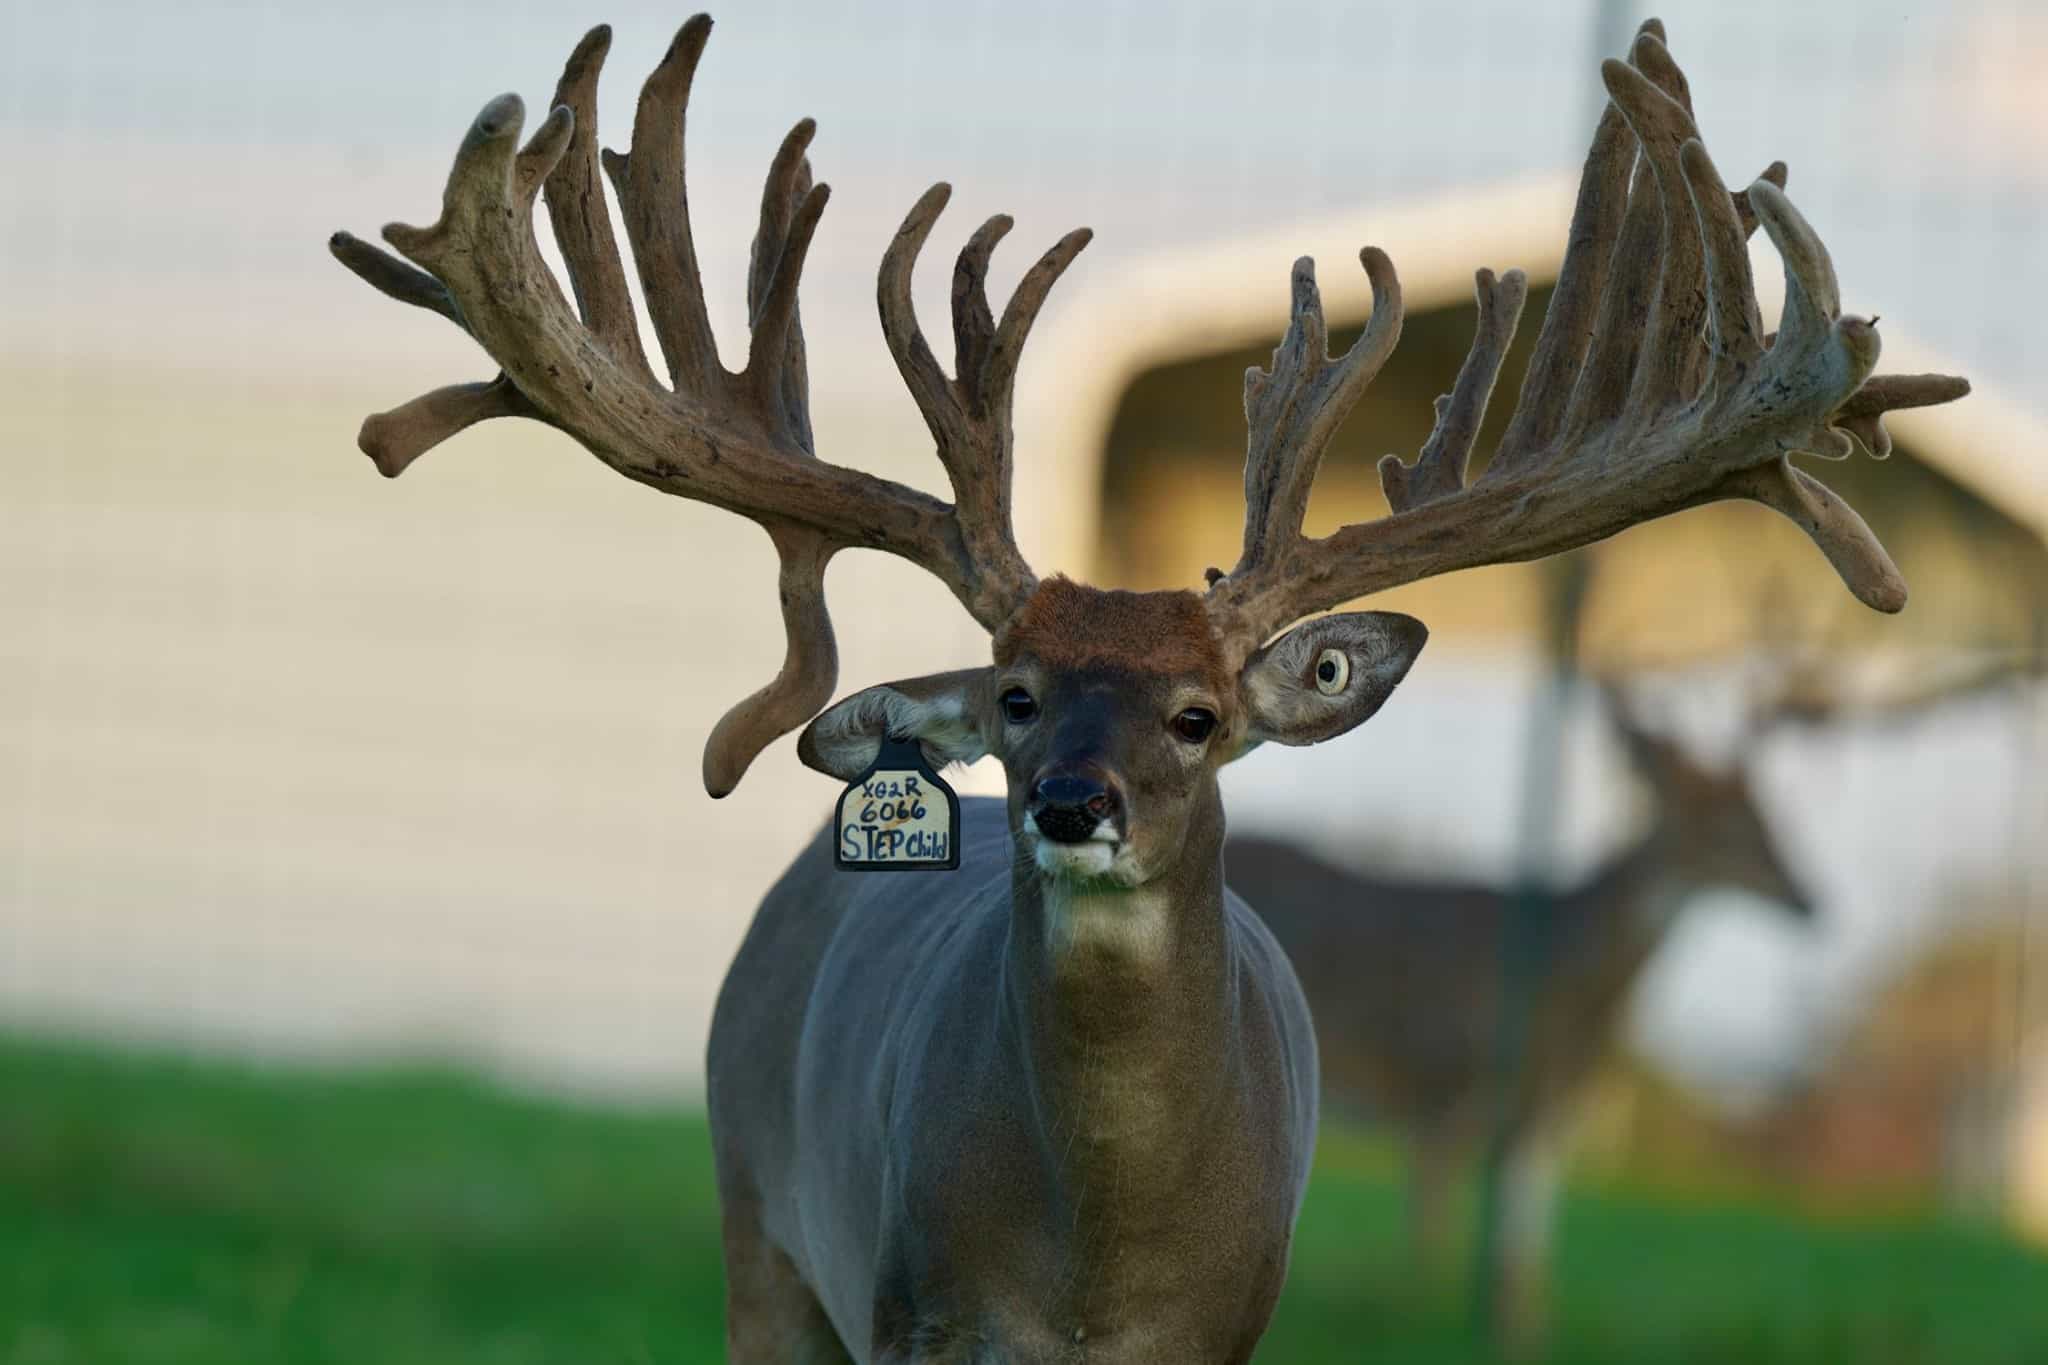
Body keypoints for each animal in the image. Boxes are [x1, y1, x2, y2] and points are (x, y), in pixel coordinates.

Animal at [1224, 679, 1819, 1344]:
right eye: (1717, 823)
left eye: (1767, 812)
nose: (1810, 899)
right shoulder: (1446, 1082)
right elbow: (1438, 1234)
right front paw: (1436, 1319)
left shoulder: (1546, 1114)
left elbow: (1523, 1247)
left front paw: (1522, 1335)